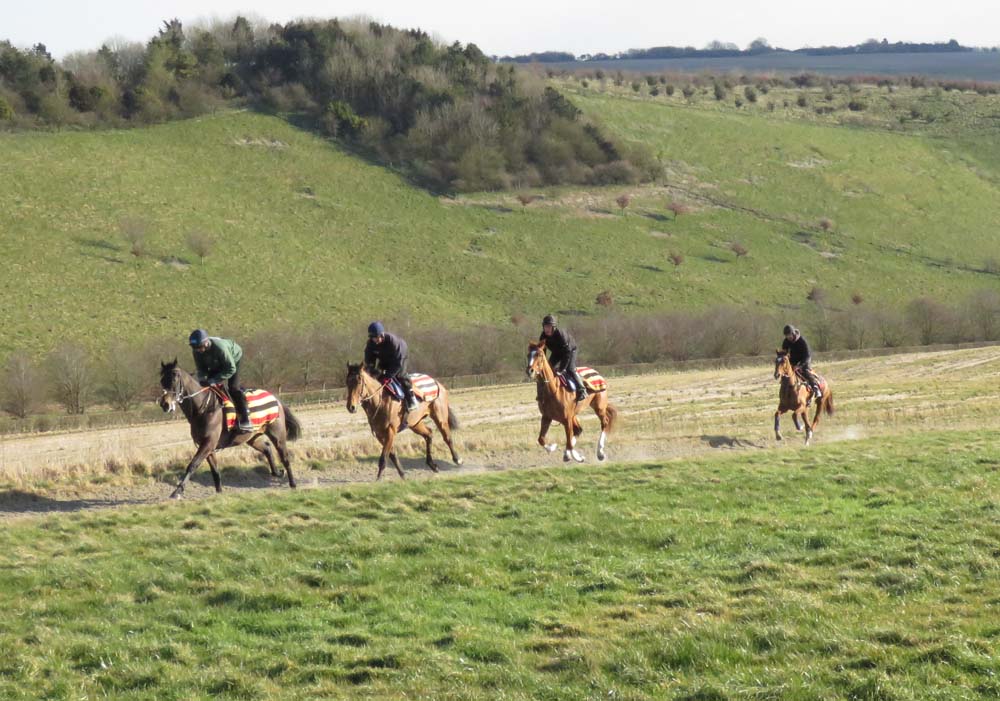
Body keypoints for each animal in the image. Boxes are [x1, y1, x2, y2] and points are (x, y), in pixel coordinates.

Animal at [159, 359, 301, 498]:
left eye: (174, 378)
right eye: (162, 380)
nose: (165, 404)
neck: (204, 408)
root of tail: (275, 398)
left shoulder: (208, 443)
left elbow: (192, 465)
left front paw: (177, 492)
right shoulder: (207, 446)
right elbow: (215, 470)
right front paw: (219, 492)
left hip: (277, 434)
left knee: (285, 457)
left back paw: (292, 483)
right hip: (251, 438)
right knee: (267, 448)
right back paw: (277, 472)